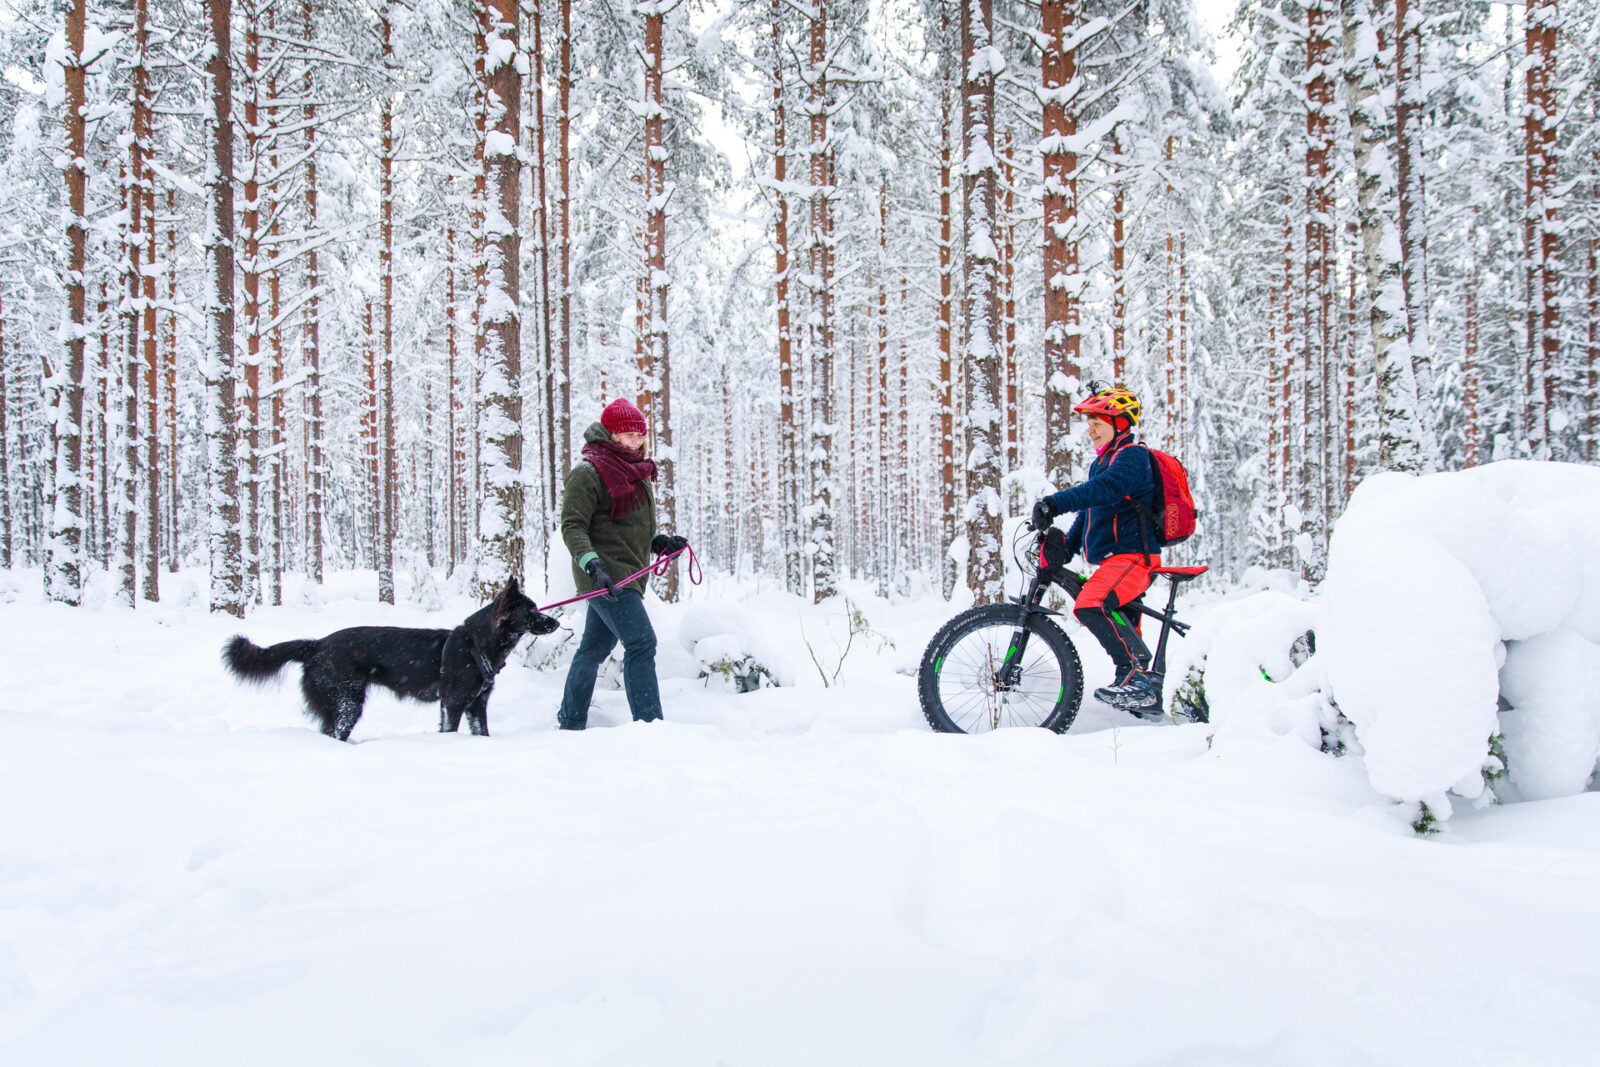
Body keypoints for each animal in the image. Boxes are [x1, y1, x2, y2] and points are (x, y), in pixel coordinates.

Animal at [219, 575, 556, 742]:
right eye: (532, 611)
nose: (555, 622)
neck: (477, 645)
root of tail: (317, 645)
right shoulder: (452, 703)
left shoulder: (477, 706)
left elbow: (482, 735)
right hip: (348, 704)